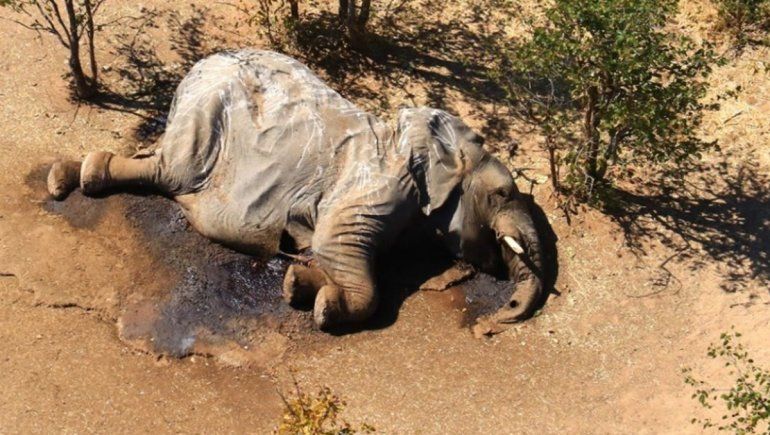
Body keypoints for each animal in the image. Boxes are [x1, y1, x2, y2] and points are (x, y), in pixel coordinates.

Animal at [47, 49, 547, 334]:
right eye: (503, 193)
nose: (491, 325)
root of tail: (198, 65)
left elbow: (329, 252)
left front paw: (297, 284)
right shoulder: (378, 186)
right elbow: (338, 247)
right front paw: (325, 307)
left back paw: (66, 176)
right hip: (204, 116)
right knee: (170, 172)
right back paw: (76, 177)